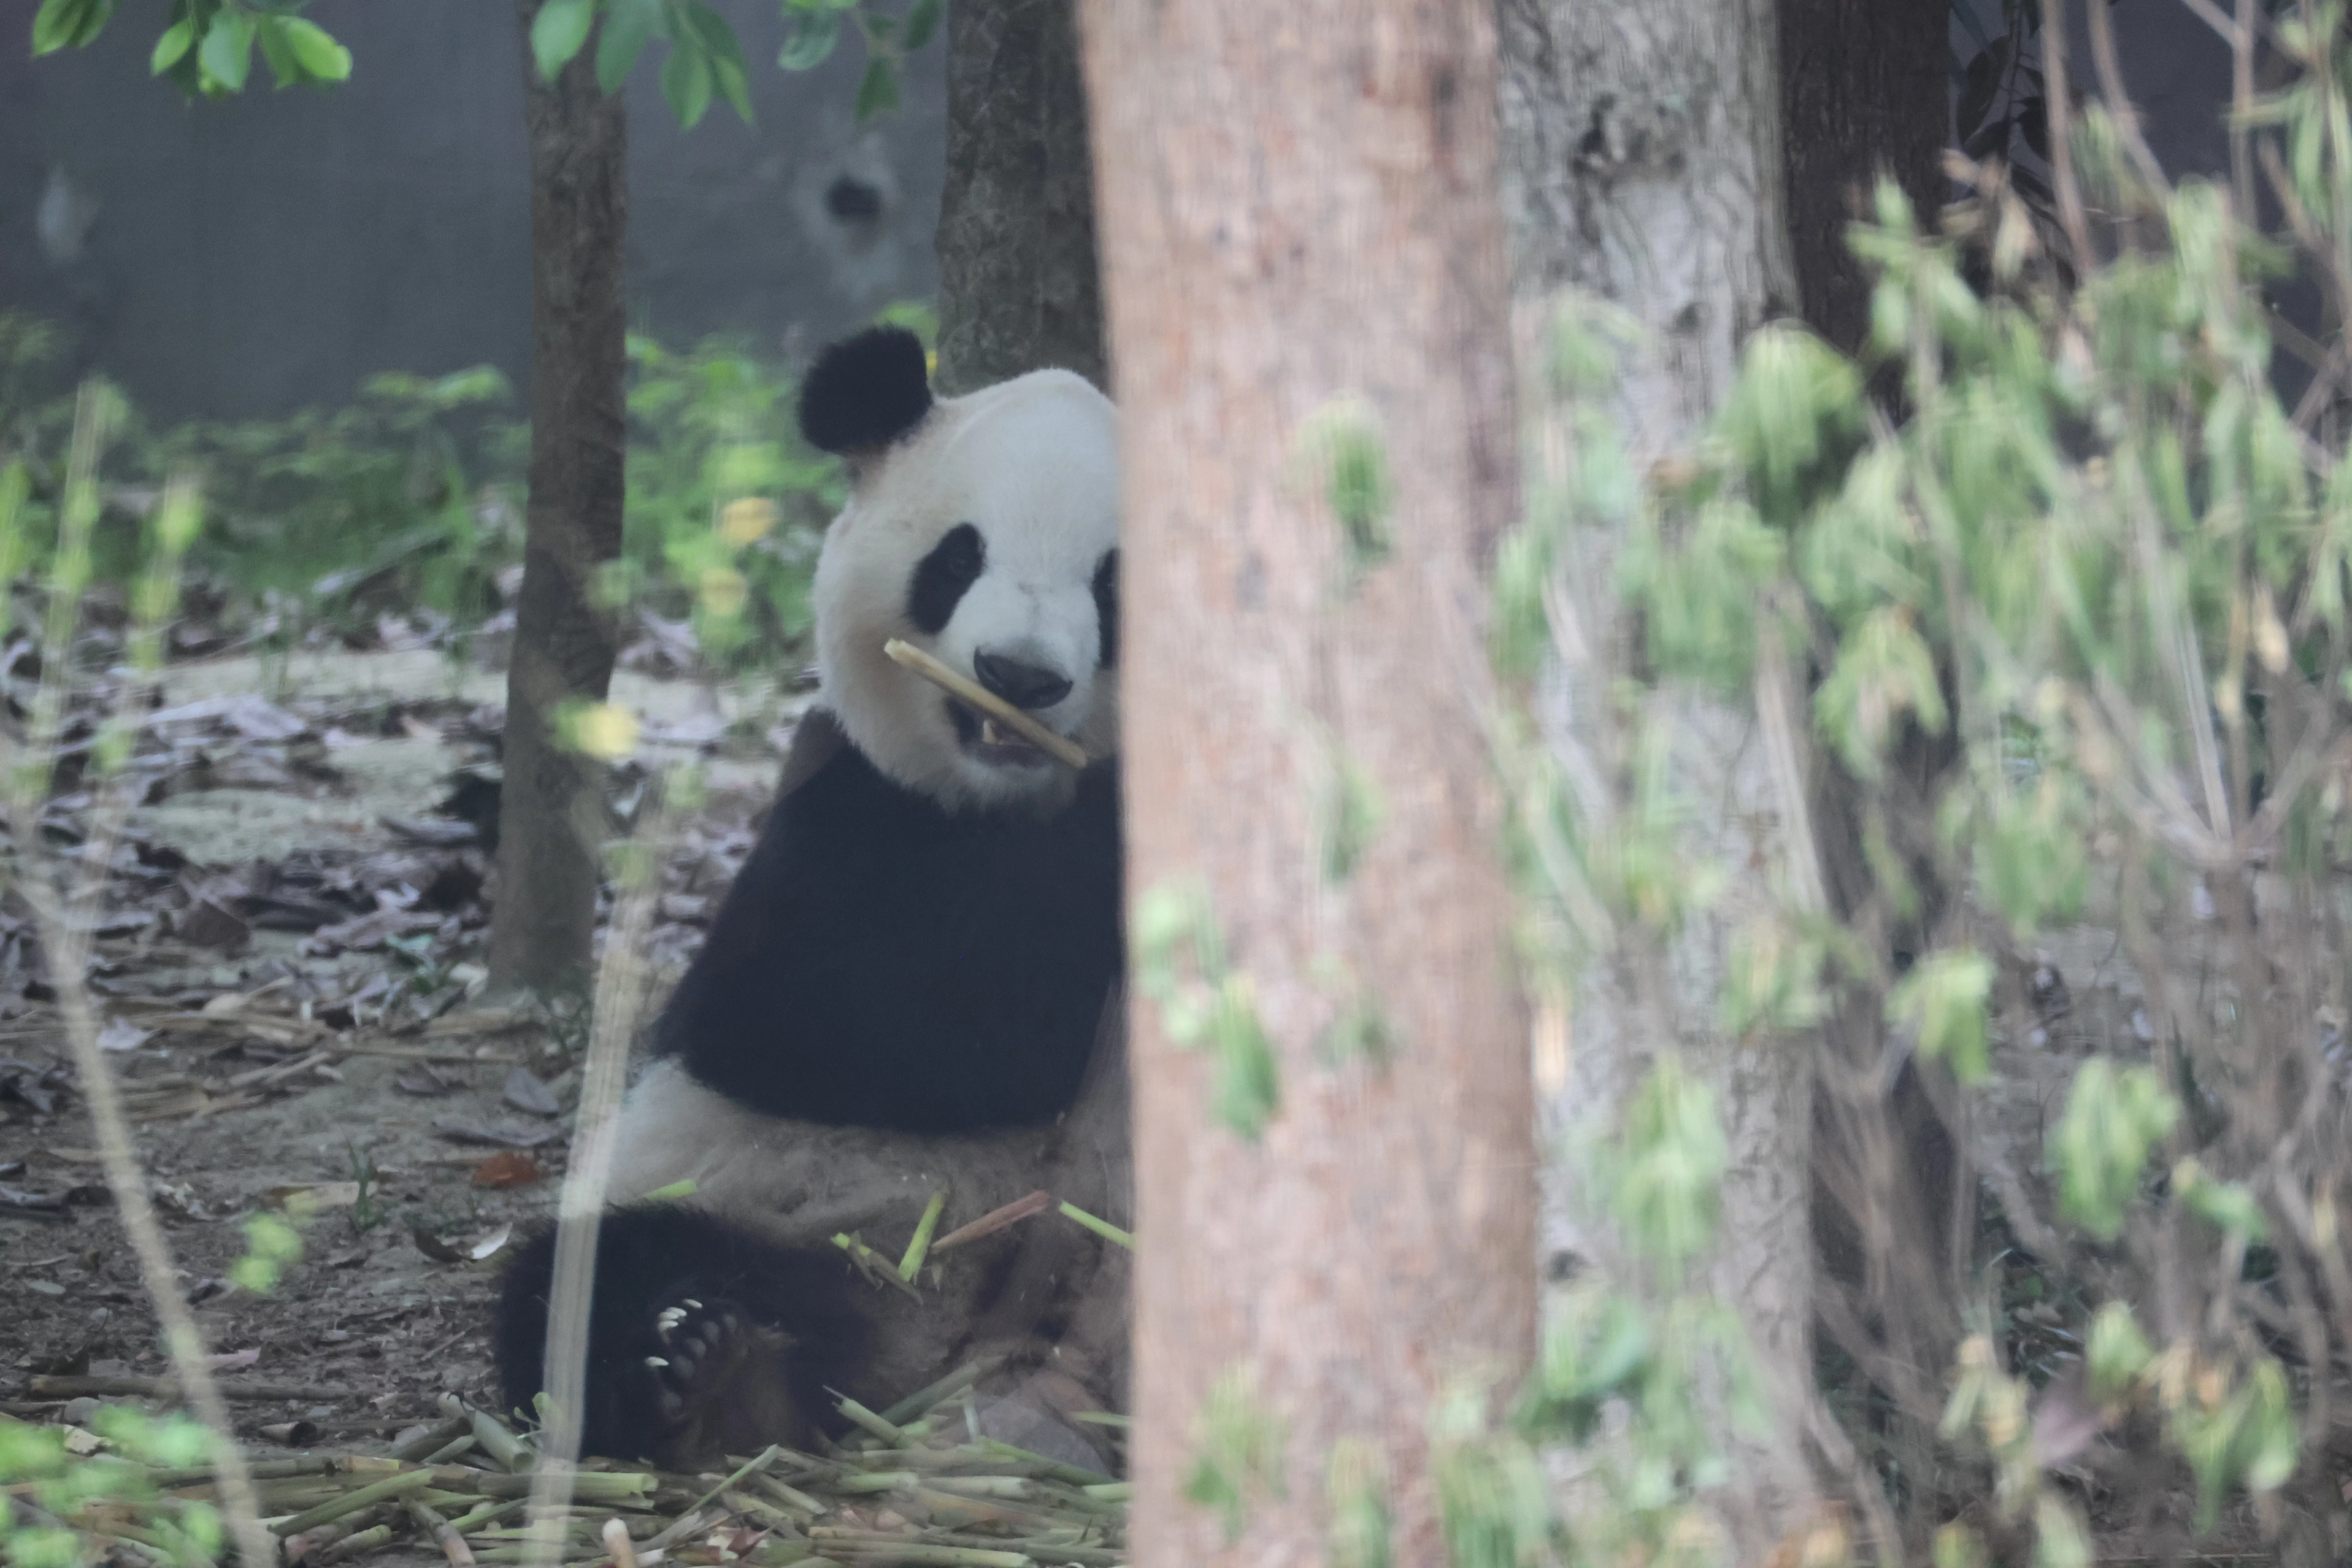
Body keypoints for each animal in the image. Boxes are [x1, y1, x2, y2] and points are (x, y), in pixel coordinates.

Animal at [493, 326, 1131, 1474]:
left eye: (1112, 583)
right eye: (957, 559)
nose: (1018, 678)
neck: (1003, 798)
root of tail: (953, 1362)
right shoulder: (838, 805)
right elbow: (859, 1027)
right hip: (763, 1206)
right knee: (576, 1284)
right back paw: (710, 1376)